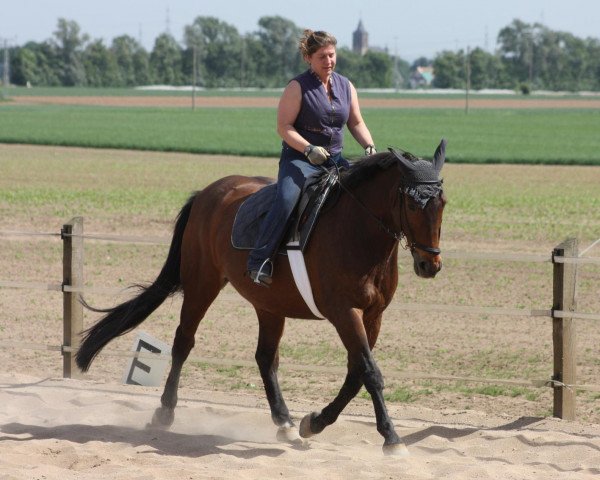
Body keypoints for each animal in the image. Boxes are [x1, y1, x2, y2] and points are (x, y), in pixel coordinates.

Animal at [75, 140, 446, 458]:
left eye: (441, 203)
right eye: (413, 203)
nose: (430, 265)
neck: (357, 231)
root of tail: (209, 192)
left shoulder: (373, 314)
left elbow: (356, 373)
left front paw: (313, 423)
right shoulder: (344, 312)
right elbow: (370, 372)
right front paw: (392, 438)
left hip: (269, 305)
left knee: (265, 357)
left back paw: (285, 422)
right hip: (202, 284)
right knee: (183, 342)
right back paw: (165, 412)